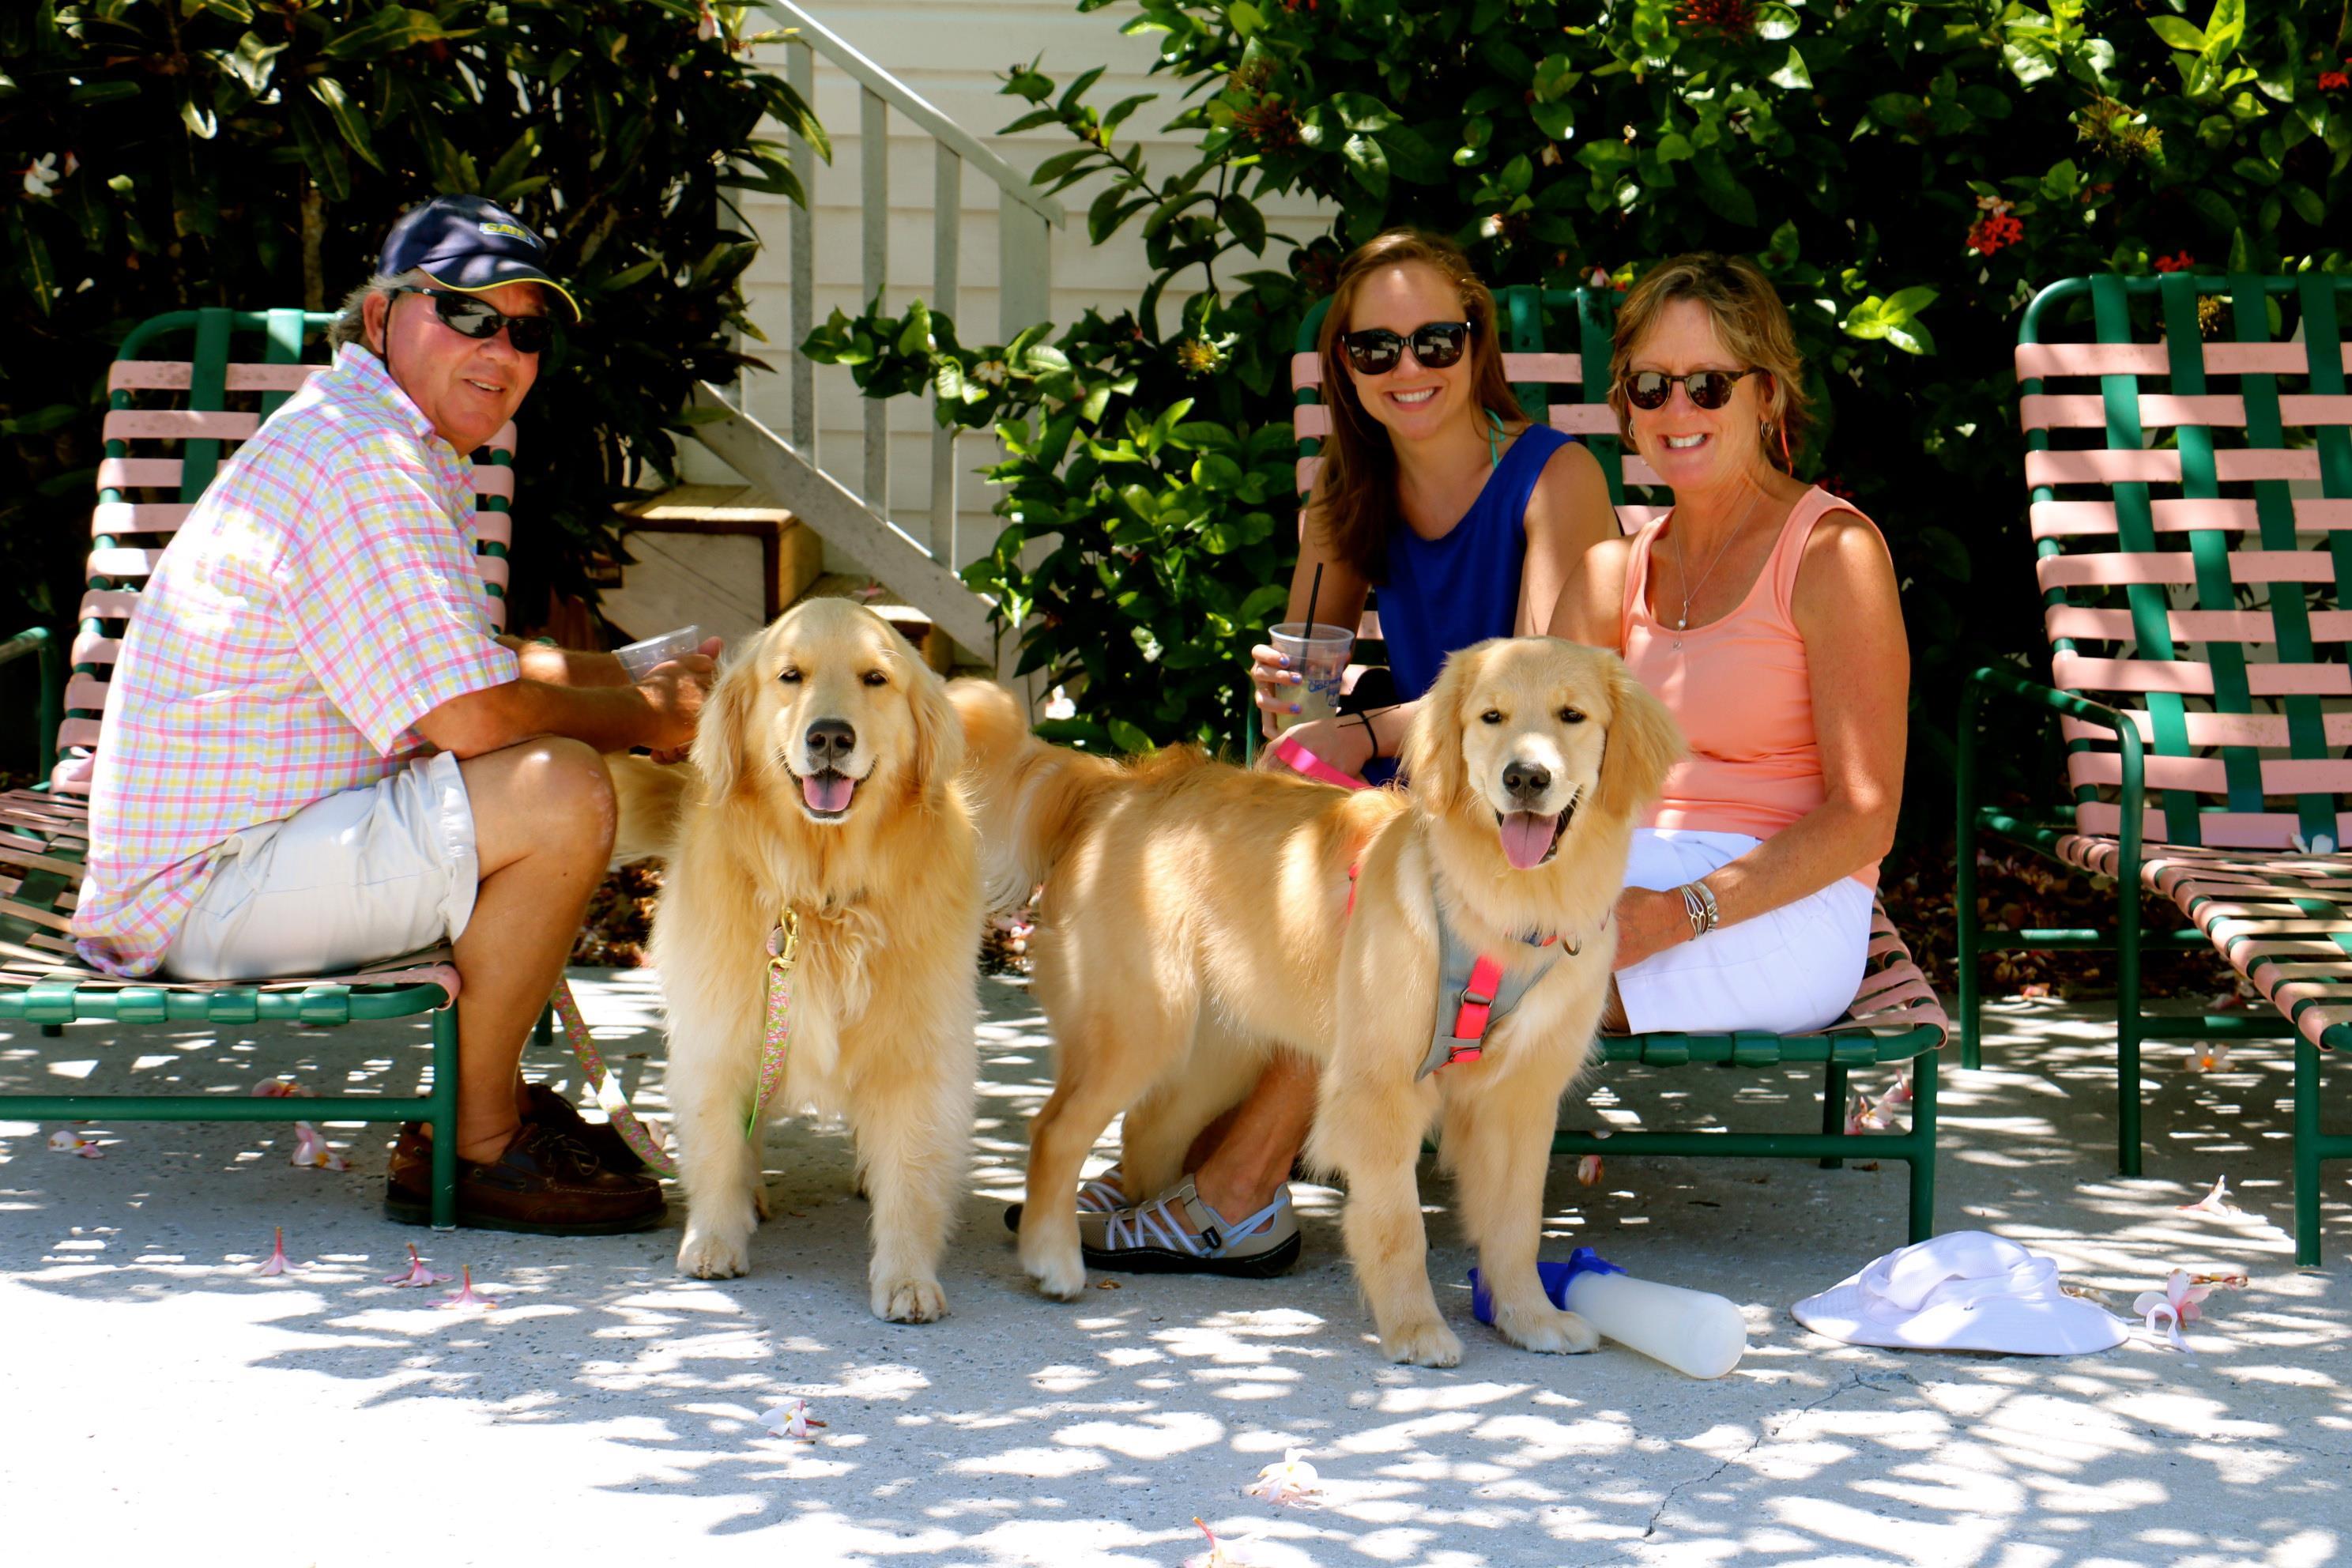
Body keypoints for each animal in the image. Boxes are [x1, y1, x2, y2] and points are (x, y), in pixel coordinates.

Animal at [633, 597, 980, 1322]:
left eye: (876, 679)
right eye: (790, 676)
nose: (829, 737)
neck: (819, 896)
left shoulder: (919, 1047)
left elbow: (912, 1170)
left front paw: (907, 1276)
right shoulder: (720, 1026)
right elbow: (717, 1145)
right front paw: (714, 1237)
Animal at [951, 636, 1681, 1364]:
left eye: (1571, 716)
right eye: (1492, 718)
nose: (1524, 778)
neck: (1506, 910)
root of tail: (1116, 785)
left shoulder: (1521, 1098)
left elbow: (1516, 1224)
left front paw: (1530, 1317)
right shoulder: (1380, 1088)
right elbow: (1399, 1225)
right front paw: (1415, 1328)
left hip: (1213, 1052)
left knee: (1145, 1131)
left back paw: (1146, 1226)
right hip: (1137, 1026)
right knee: (1055, 1130)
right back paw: (1054, 1259)